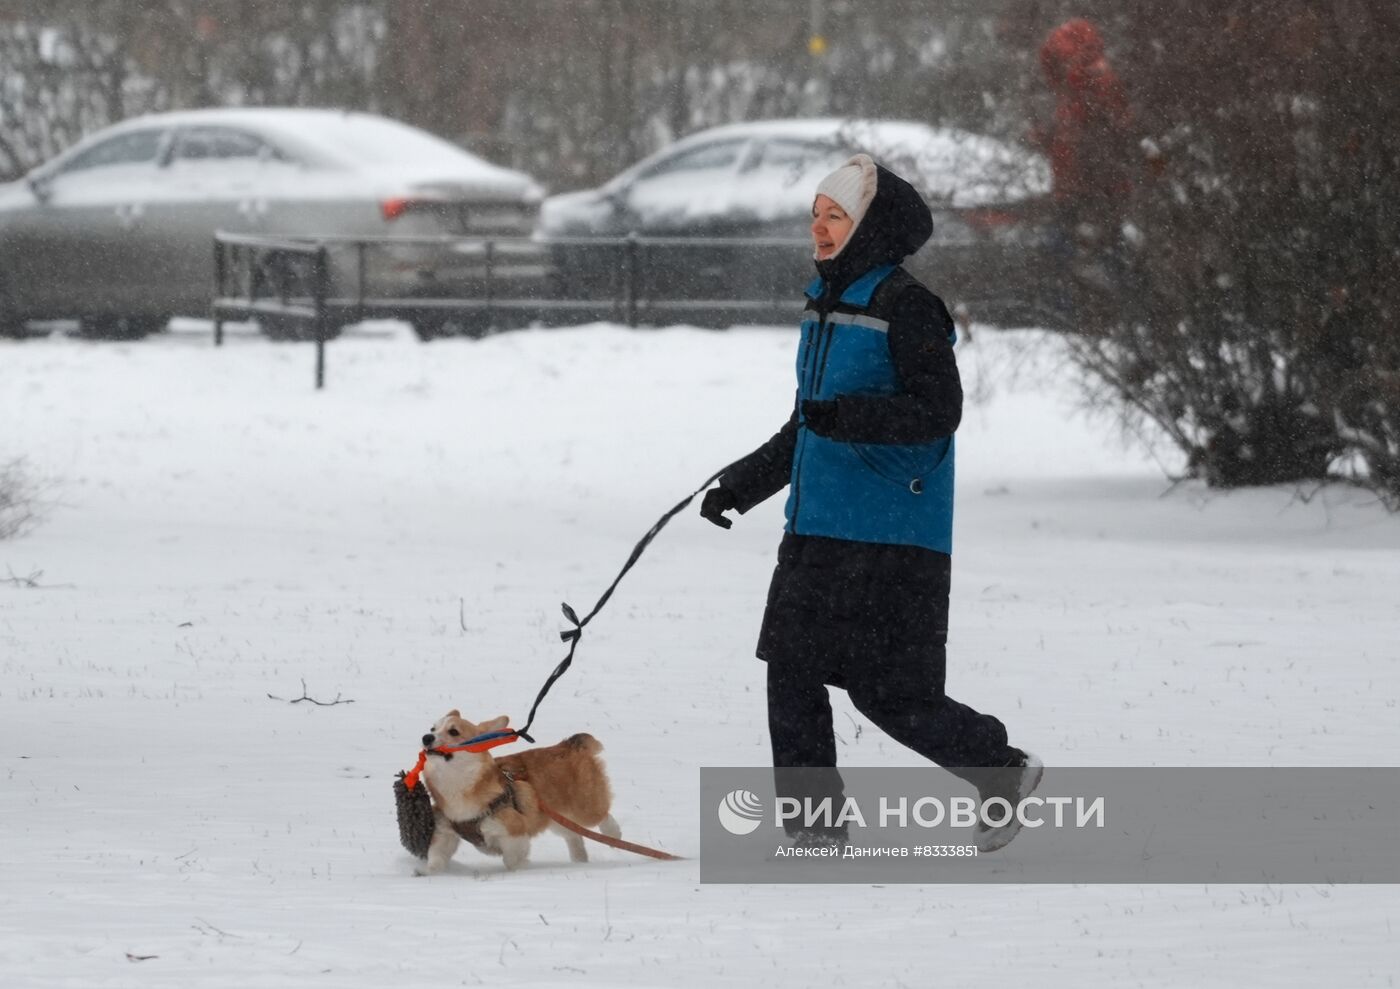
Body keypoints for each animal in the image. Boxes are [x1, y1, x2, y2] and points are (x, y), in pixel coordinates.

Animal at [408, 708, 618, 868]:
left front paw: (519, 870)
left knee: (601, 816)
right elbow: (436, 858)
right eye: (433, 728)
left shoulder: (514, 831)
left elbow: (512, 860)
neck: (457, 785)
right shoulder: (445, 831)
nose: (426, 737)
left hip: (584, 807)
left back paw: (613, 834)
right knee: (574, 835)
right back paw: (579, 861)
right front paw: (427, 874)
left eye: (453, 732)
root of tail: (570, 745)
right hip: (557, 817)